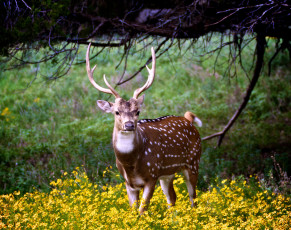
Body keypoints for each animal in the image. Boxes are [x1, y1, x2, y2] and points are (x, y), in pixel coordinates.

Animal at [85, 43, 202, 214]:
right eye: (116, 111)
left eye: (137, 111)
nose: (129, 125)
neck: (131, 164)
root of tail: (188, 119)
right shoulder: (128, 183)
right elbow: (133, 211)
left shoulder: (151, 175)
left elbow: (142, 210)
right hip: (167, 173)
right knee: (172, 197)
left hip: (193, 161)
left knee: (193, 197)